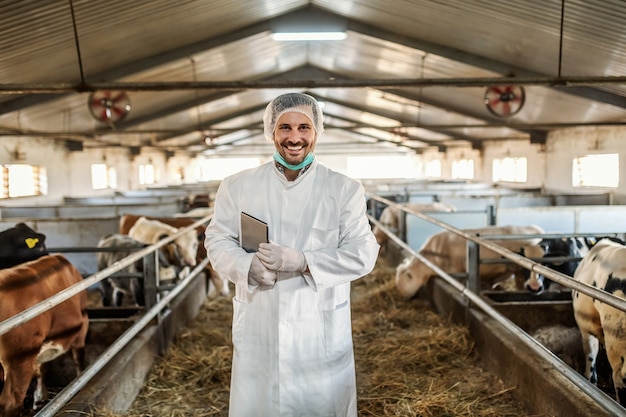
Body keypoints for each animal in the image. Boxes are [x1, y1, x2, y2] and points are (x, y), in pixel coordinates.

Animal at [0, 254, 89, 416]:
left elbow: (43, 367)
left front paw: (39, 398)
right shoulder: (83, 325)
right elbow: (79, 360)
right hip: (20, 358)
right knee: (11, 402)